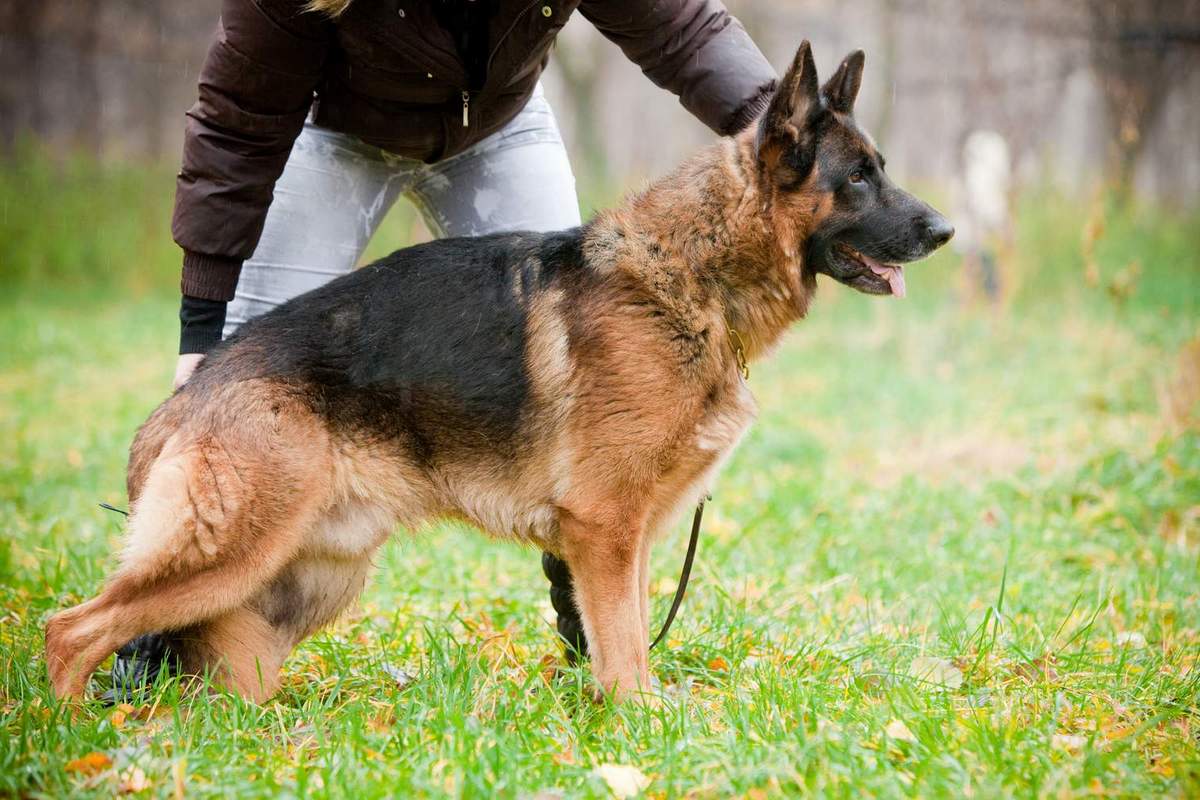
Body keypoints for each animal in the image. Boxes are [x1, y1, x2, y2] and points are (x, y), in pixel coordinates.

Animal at [44, 43, 945, 705]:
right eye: (858, 177)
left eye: (880, 168)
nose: (946, 230)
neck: (687, 278)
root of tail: (187, 397)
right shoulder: (604, 529)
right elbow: (626, 653)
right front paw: (639, 731)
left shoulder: (626, 541)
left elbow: (624, 637)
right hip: (231, 553)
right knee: (73, 628)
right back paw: (72, 737)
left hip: (305, 581)